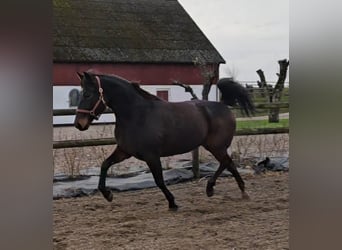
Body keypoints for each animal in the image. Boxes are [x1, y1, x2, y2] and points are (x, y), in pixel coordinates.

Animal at [75, 72, 256, 211]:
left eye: (87, 94)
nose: (79, 124)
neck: (136, 115)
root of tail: (224, 105)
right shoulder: (124, 151)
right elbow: (105, 164)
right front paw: (108, 195)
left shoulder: (151, 155)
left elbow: (159, 181)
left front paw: (173, 203)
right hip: (214, 146)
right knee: (229, 164)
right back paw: (240, 192)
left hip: (216, 146)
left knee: (226, 162)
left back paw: (214, 189)